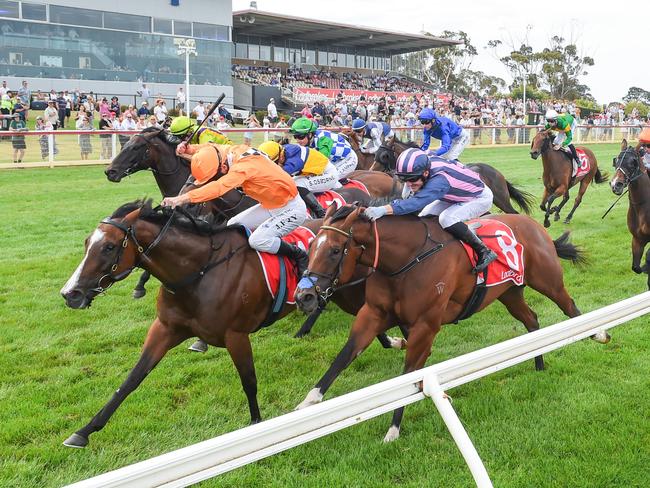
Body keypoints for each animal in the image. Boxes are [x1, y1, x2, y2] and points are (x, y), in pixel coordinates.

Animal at [58, 200, 402, 448]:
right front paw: (83, 431)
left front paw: (256, 427)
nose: (70, 293)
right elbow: (131, 380)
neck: (199, 273)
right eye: (87, 242)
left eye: (109, 247)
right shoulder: (165, 328)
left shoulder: (236, 335)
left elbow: (248, 381)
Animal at [294, 205, 608, 442]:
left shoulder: (425, 326)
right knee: (532, 319)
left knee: (570, 307)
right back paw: (539, 364)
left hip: (548, 280)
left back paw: (599, 333)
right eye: (310, 246)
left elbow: (408, 375)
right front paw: (306, 405)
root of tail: (533, 225)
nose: (304, 295)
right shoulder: (372, 313)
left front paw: (393, 430)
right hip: (509, 292)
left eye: (335, 250)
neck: (405, 260)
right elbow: (344, 356)